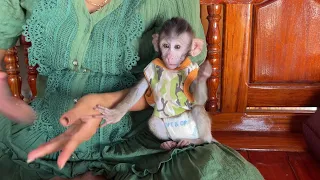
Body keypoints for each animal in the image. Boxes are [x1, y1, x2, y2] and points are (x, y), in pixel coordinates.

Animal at [94, 17, 216, 149]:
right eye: (166, 45)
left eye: (177, 47)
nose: (169, 57)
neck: (171, 69)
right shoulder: (149, 70)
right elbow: (138, 90)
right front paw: (117, 113)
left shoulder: (192, 73)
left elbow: (198, 100)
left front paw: (203, 75)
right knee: (153, 122)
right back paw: (169, 143)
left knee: (198, 109)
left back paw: (198, 140)